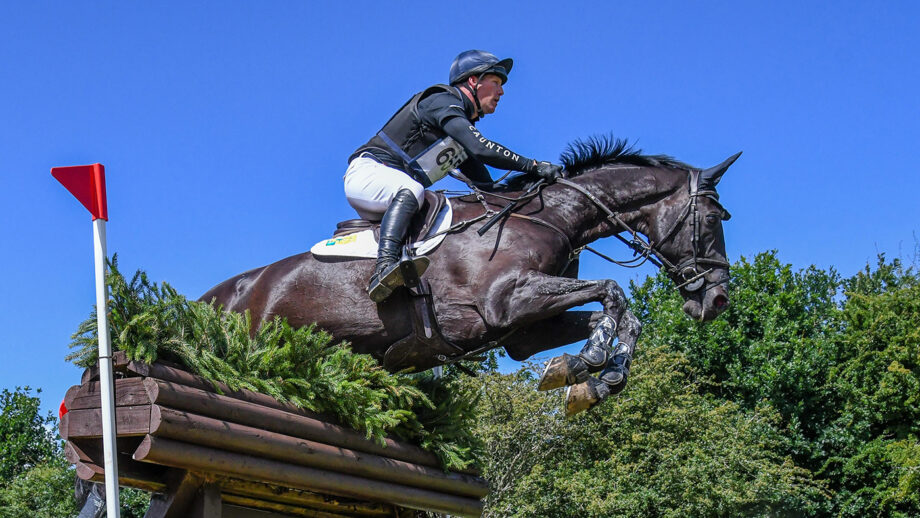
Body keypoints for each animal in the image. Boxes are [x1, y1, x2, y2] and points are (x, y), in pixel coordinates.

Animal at [203, 138, 740, 414]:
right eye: (717, 217)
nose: (716, 301)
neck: (553, 216)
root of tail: (215, 299)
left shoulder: (523, 331)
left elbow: (620, 316)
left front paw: (593, 381)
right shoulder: (507, 302)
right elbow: (614, 291)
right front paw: (585, 364)